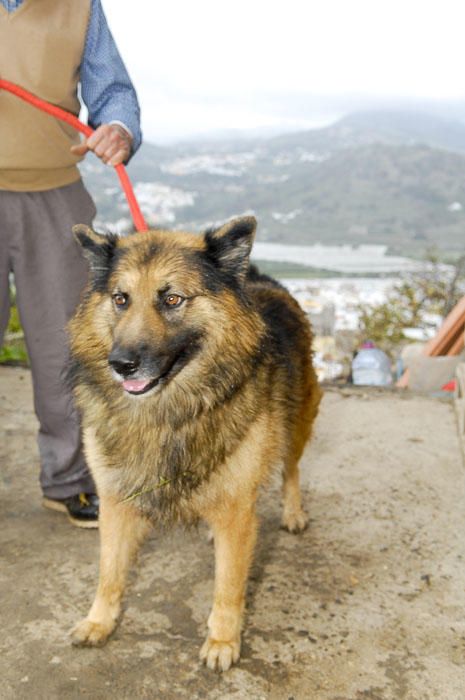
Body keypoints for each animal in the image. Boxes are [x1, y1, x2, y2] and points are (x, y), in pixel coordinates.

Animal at [69, 216, 320, 668]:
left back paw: (293, 513)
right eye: (120, 299)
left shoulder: (237, 511)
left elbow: (228, 586)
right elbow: (109, 572)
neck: (169, 411)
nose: (121, 364)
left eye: (172, 299)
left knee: (290, 469)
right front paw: (99, 622)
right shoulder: (114, 500)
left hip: (297, 422)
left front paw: (222, 641)